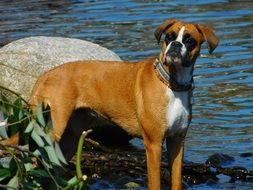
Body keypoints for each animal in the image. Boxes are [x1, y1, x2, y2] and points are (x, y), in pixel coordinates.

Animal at [2, 20, 218, 189]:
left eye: (189, 40)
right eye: (169, 37)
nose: (175, 44)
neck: (171, 83)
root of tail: (45, 75)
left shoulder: (177, 142)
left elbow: (177, 180)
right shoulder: (154, 143)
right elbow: (154, 182)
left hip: (68, 141)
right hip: (50, 131)